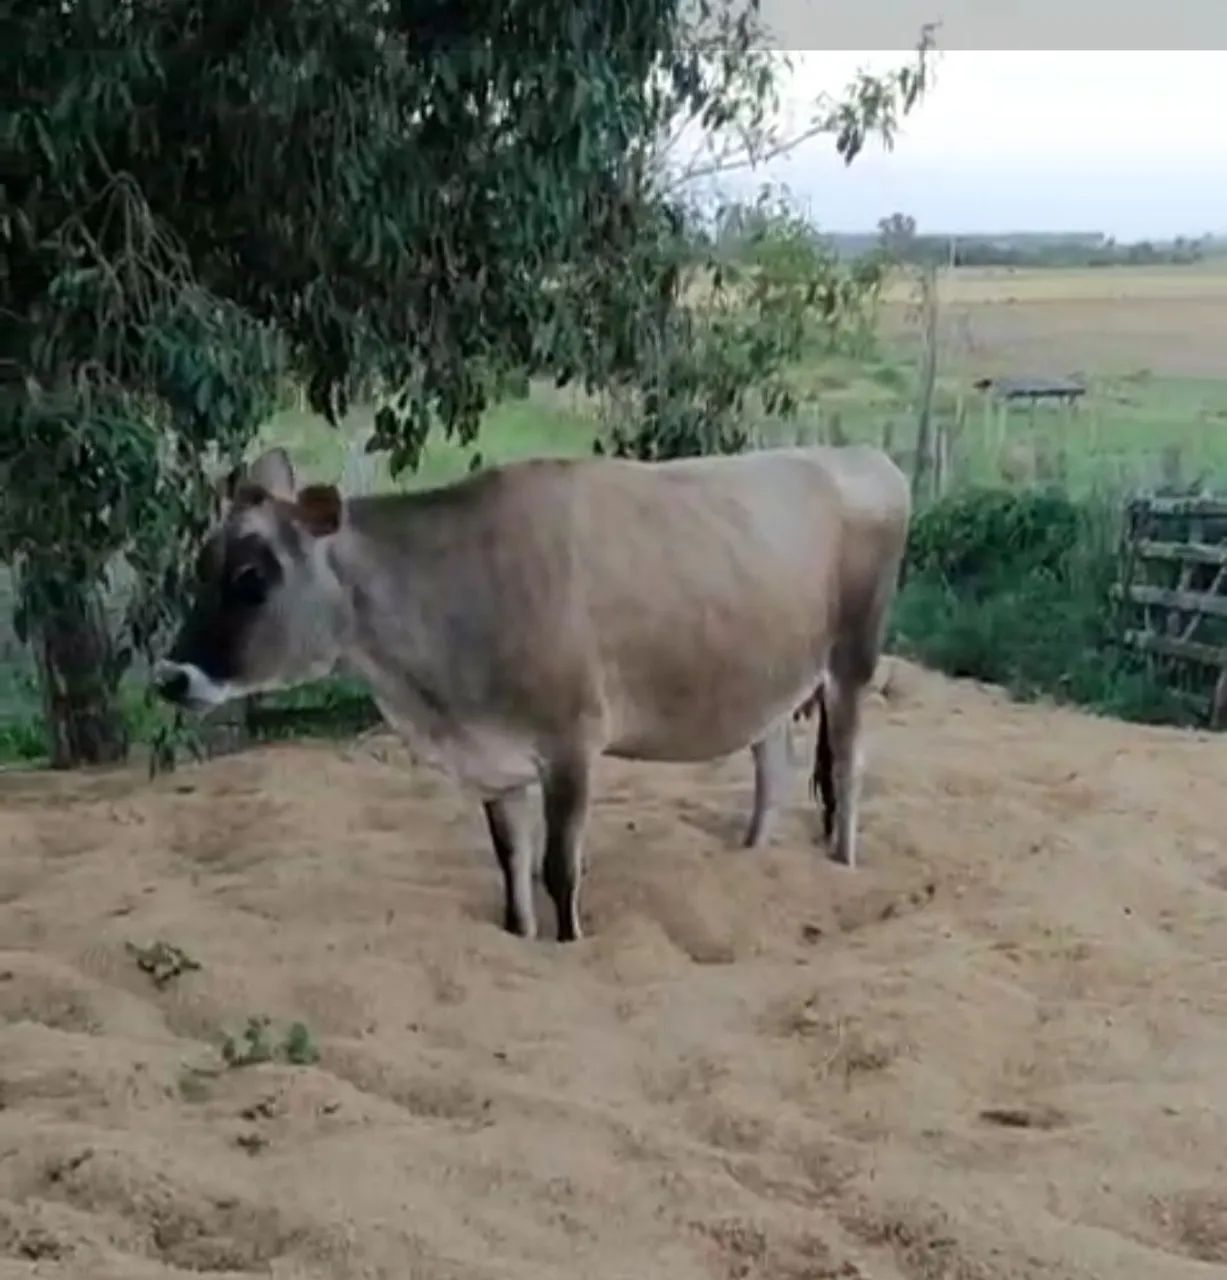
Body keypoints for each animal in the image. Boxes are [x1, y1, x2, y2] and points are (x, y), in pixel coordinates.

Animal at [154, 443, 910, 943]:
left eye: (253, 578)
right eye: (200, 567)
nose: (170, 677)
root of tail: (862, 454)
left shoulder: (572, 744)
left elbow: (558, 869)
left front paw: (568, 942)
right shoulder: (494, 756)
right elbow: (510, 861)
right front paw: (519, 935)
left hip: (851, 658)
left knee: (847, 765)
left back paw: (842, 864)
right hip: (769, 676)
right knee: (770, 763)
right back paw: (750, 857)